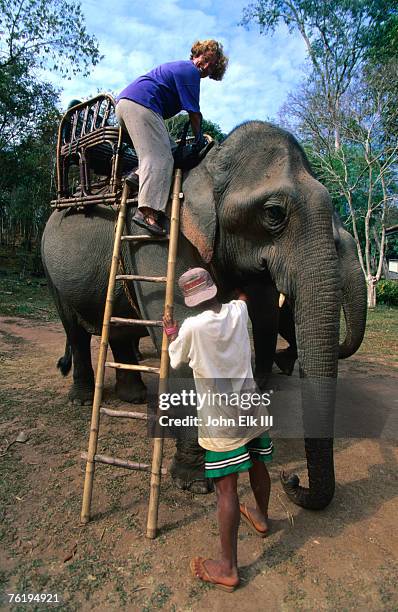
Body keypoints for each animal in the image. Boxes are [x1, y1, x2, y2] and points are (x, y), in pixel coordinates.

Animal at [41, 122, 366, 510]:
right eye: (273, 213)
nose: (293, 479)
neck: (207, 167)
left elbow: (253, 318)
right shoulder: (156, 237)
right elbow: (182, 336)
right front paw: (196, 482)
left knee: (118, 329)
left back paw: (134, 399)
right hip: (52, 271)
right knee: (74, 329)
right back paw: (83, 399)